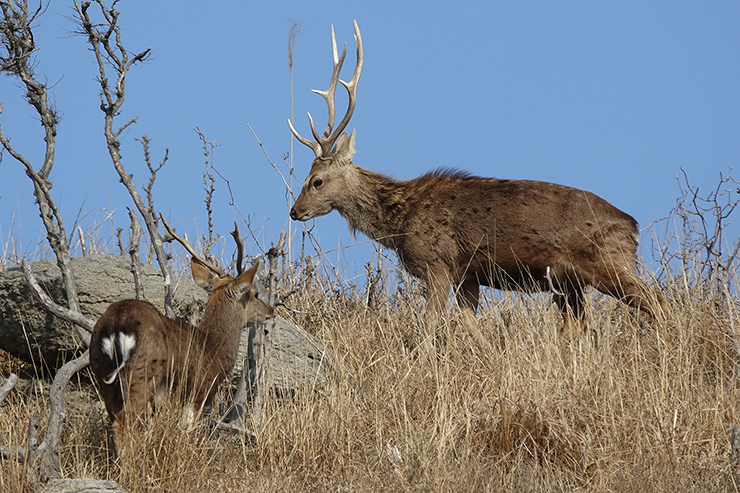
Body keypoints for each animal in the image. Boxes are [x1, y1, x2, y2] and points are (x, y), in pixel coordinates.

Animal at [89, 220, 274, 446]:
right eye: (255, 294)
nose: (270, 311)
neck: (213, 347)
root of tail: (117, 323)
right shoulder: (198, 391)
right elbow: (186, 431)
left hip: (101, 370)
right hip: (144, 372)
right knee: (124, 422)